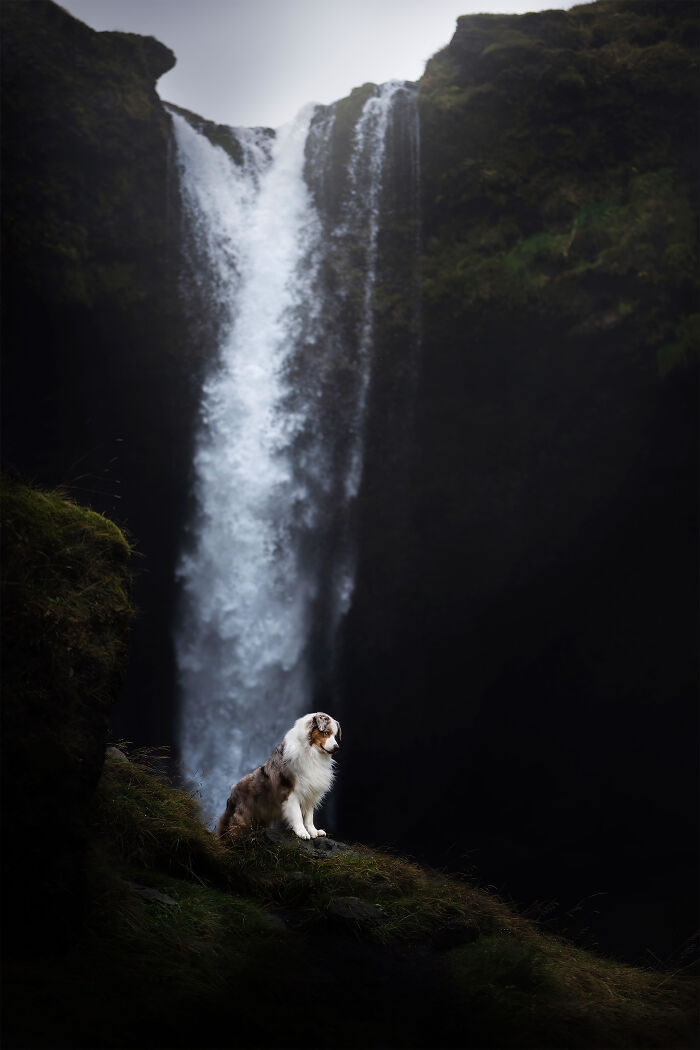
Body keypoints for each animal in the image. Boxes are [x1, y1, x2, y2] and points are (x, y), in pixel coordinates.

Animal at [216, 709, 342, 839]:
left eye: (335, 735)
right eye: (326, 733)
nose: (337, 747)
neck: (311, 751)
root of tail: (233, 790)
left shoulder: (310, 792)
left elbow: (309, 817)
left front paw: (313, 832)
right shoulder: (290, 792)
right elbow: (297, 814)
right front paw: (302, 832)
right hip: (242, 815)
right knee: (232, 829)